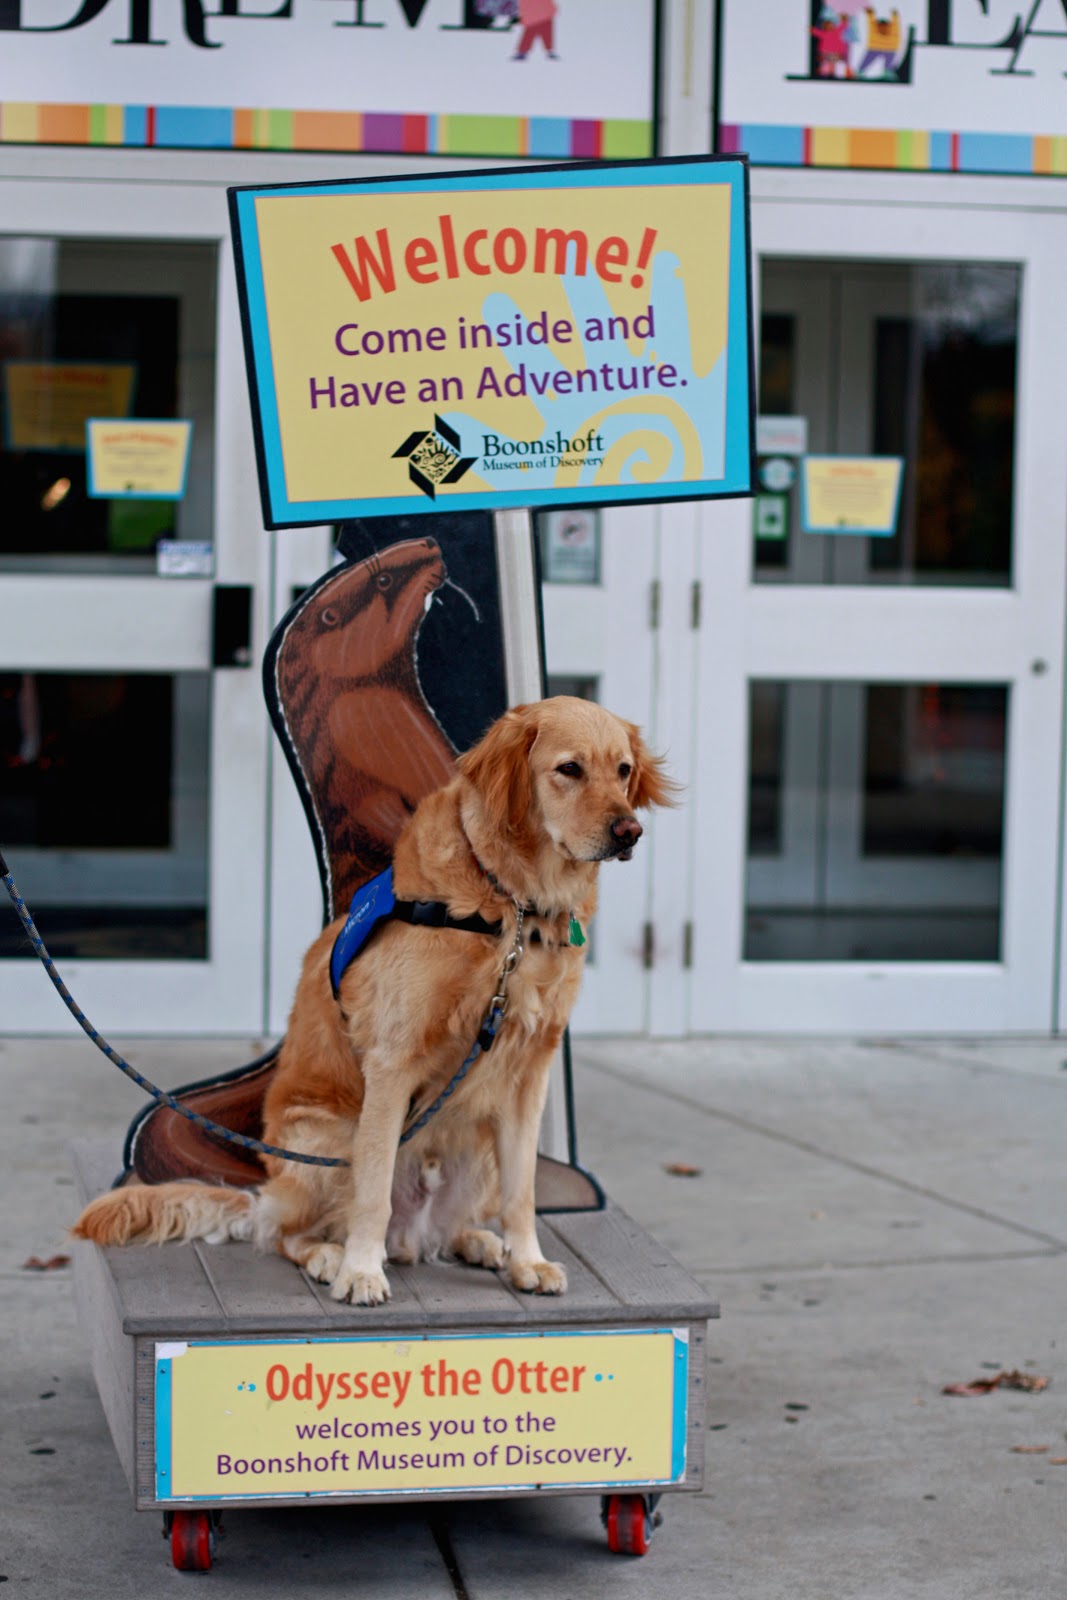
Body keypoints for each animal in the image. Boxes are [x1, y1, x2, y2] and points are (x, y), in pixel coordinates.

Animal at [74, 697, 674, 1305]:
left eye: (623, 771)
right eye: (569, 769)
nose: (630, 831)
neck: (512, 905)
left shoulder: (529, 1075)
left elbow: (522, 1189)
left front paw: (528, 1259)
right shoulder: (392, 1065)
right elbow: (374, 1192)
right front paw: (361, 1270)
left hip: (476, 1140)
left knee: (444, 1227)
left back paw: (478, 1241)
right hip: (329, 1139)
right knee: (285, 1234)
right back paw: (327, 1255)